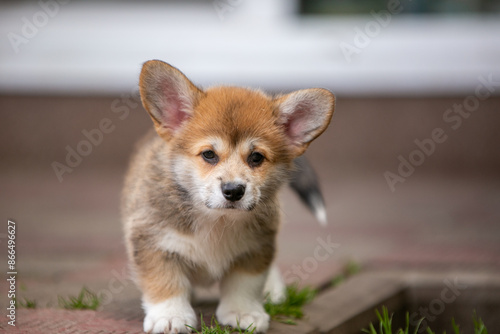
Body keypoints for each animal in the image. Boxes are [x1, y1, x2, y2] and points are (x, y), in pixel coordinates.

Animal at [121, 60, 334, 334]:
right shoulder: (153, 243)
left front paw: (243, 312)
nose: (233, 191)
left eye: (256, 158)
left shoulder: (255, 249)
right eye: (209, 154)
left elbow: (244, 284)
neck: (217, 219)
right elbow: (165, 282)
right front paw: (170, 317)